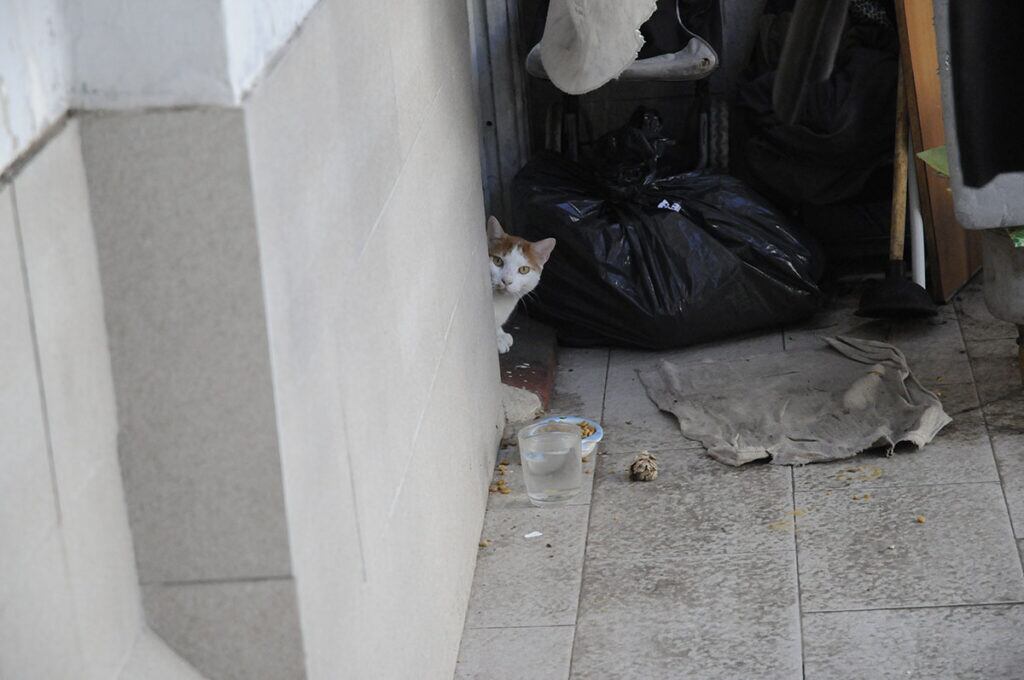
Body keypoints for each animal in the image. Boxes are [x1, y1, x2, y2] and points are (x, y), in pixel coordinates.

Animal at [485, 218, 557, 356]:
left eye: (524, 269)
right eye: (497, 261)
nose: (506, 281)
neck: (501, 302)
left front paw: (500, 335)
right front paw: (498, 340)